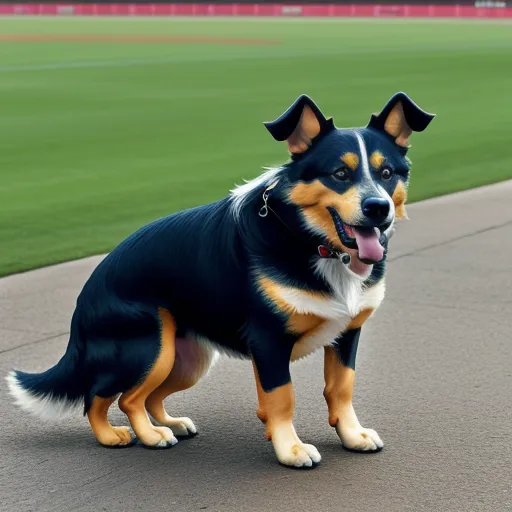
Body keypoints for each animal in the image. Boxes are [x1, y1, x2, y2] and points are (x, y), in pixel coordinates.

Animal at [6, 91, 434, 468]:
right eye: (340, 173)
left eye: (386, 173)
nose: (378, 208)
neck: (310, 241)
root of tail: (85, 298)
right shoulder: (268, 341)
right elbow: (282, 398)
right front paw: (291, 450)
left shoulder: (347, 333)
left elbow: (341, 388)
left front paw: (352, 436)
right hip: (149, 348)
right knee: (109, 396)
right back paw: (129, 436)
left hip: (188, 359)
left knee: (145, 396)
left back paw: (170, 423)